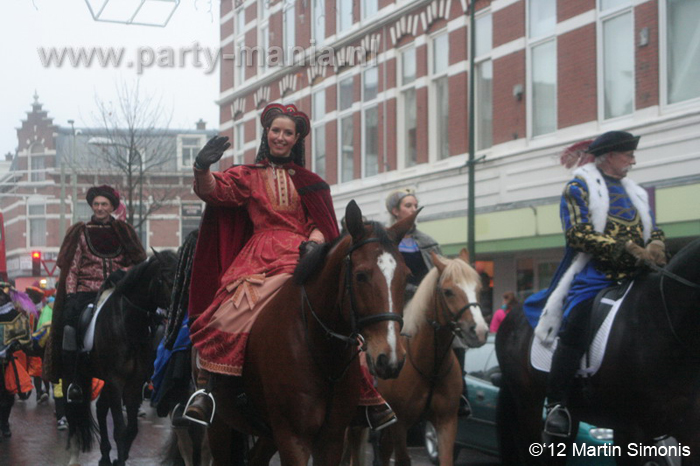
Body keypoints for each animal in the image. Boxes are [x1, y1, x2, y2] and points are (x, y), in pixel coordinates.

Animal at [67, 251, 178, 466]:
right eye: (163, 279)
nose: (175, 312)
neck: (128, 325)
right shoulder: (116, 380)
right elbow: (119, 428)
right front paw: (120, 458)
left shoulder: (133, 381)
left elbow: (131, 428)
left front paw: (122, 456)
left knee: (101, 408)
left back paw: (104, 455)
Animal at [206, 201, 416, 466]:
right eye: (360, 276)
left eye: (406, 276)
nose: (390, 359)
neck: (323, 353)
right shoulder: (293, 437)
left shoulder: (331, 437)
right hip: (220, 424)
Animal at [348, 249, 490, 466]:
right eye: (448, 291)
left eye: (479, 289)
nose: (480, 332)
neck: (428, 365)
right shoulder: (400, 424)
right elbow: (403, 459)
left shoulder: (447, 421)